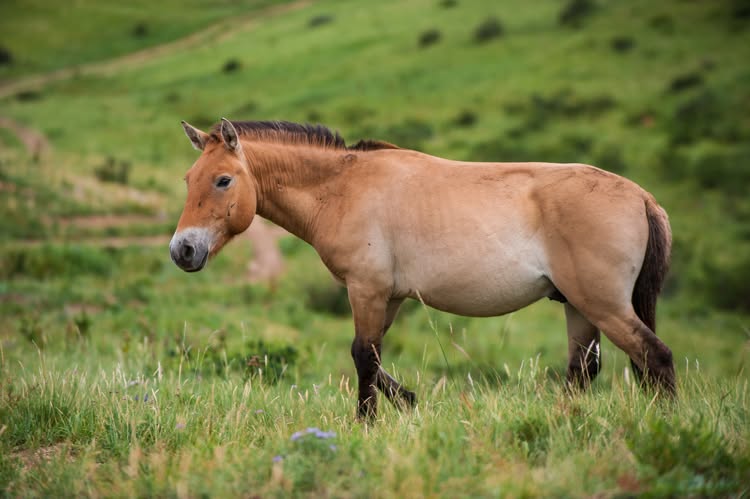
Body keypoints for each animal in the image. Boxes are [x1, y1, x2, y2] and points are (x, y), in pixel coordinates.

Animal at [170, 118, 675, 419]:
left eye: (223, 180)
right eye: (188, 179)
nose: (183, 251)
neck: (343, 187)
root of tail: (642, 196)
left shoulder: (367, 289)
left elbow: (363, 356)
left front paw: (367, 423)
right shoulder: (389, 296)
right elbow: (373, 358)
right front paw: (410, 402)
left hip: (602, 303)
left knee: (655, 357)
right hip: (578, 305)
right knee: (582, 371)